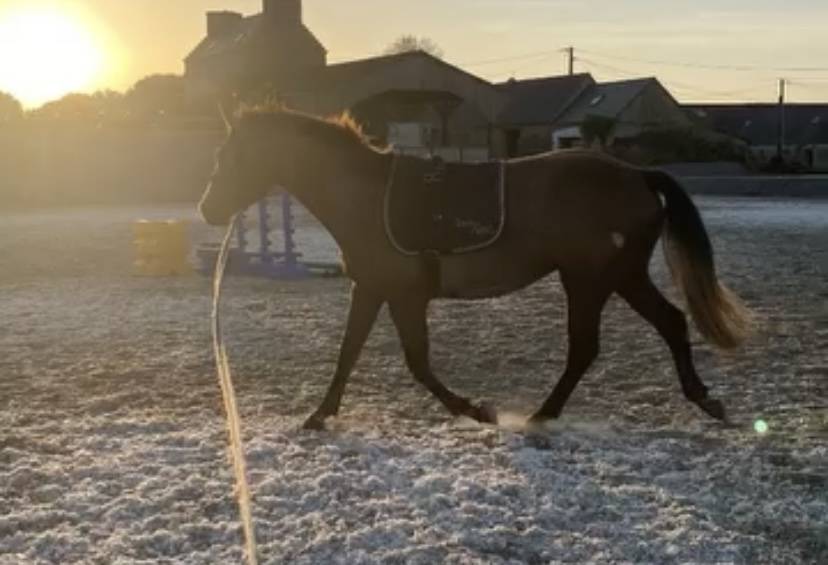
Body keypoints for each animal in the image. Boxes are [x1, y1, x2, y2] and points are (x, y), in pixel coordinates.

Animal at [199, 107, 751, 431]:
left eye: (233, 155)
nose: (208, 210)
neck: (366, 196)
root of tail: (637, 174)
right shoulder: (372, 288)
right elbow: (348, 352)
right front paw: (319, 414)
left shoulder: (405, 295)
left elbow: (418, 363)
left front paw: (475, 410)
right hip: (619, 277)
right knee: (668, 324)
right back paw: (703, 400)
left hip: (591, 279)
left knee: (588, 346)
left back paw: (544, 414)